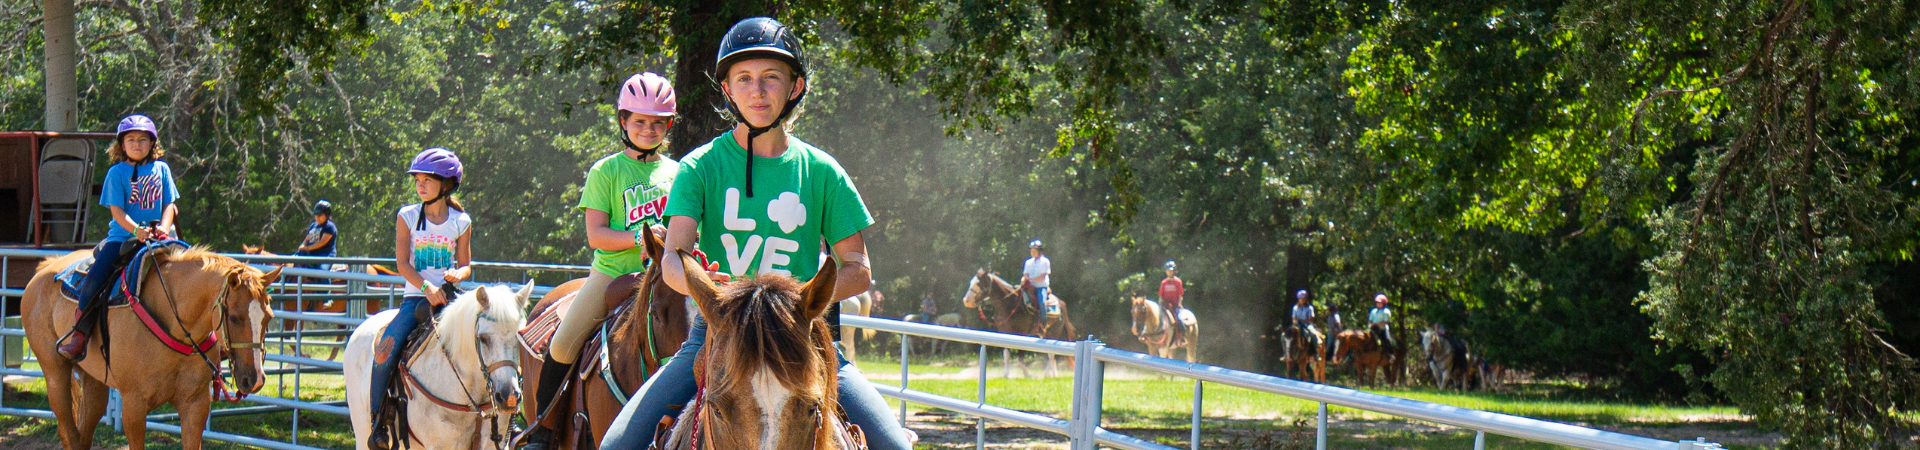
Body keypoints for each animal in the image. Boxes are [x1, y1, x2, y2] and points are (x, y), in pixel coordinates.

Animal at [22, 246, 278, 450]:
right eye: (234, 318)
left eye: (269, 317)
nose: (254, 379)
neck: (175, 325)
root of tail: (45, 267)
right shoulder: (134, 406)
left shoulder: (195, 404)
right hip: (55, 375)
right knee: (69, 433)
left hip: (94, 382)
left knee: (84, 433)